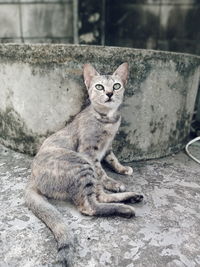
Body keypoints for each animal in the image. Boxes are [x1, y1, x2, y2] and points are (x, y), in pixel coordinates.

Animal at [25, 62, 144, 266]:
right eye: (99, 87)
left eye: (117, 86)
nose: (109, 93)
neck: (107, 119)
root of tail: (32, 179)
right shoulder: (89, 152)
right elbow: (102, 173)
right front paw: (113, 182)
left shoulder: (107, 148)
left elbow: (112, 159)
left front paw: (122, 169)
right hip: (81, 164)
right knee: (90, 205)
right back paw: (125, 207)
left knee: (99, 197)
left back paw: (132, 198)